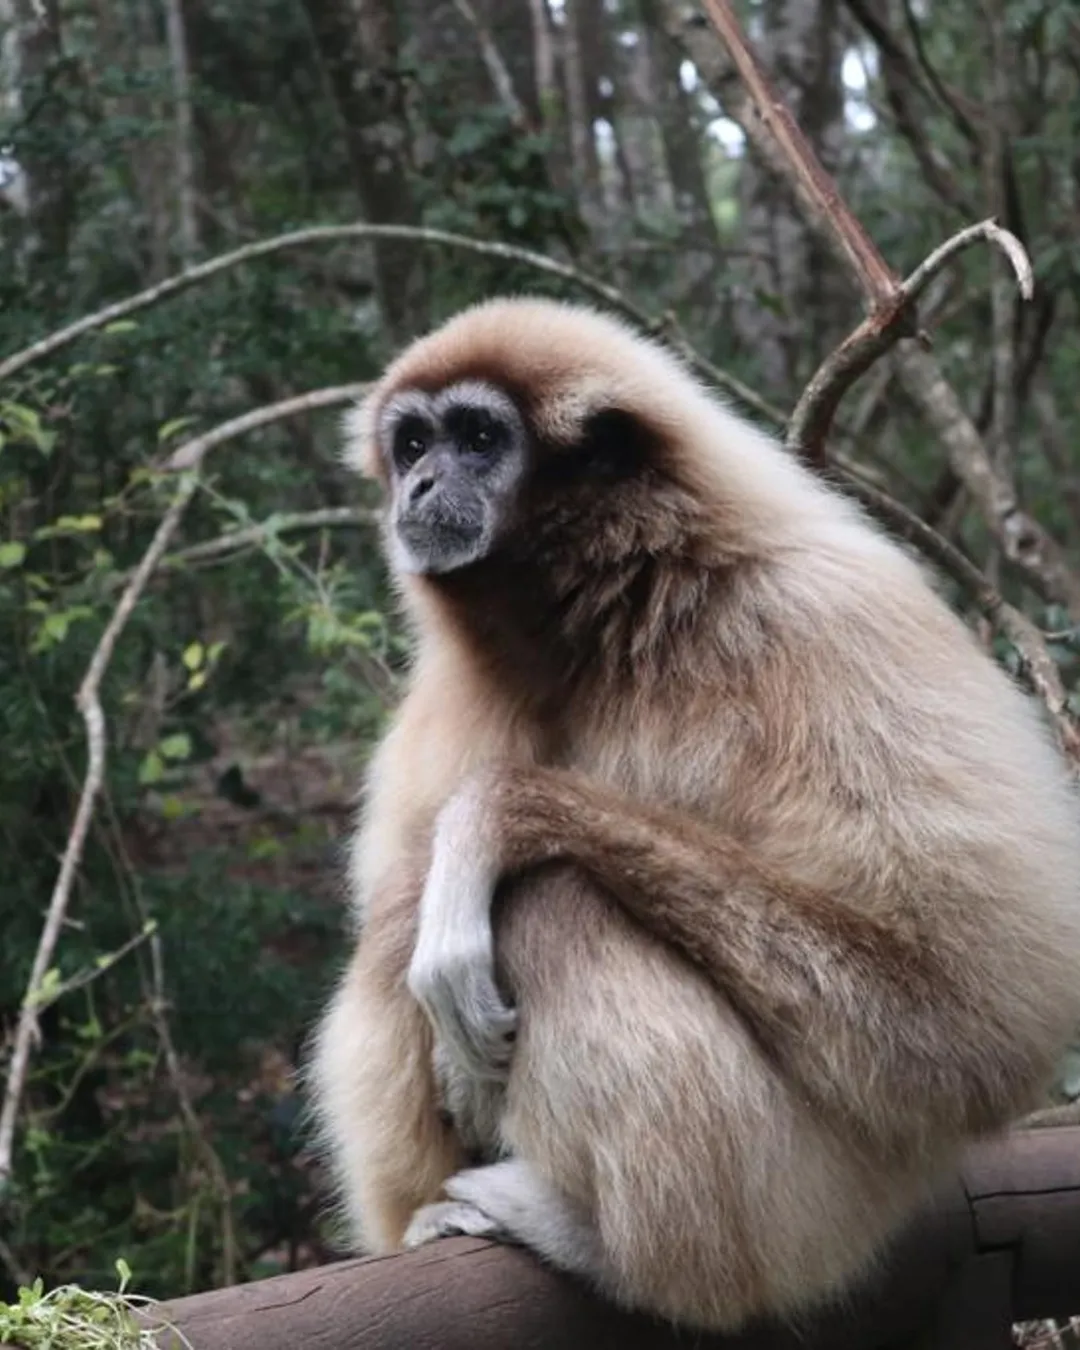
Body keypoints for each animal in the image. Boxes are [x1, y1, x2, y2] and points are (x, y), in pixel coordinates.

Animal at [310, 296, 1080, 1332]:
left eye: (478, 437)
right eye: (414, 441)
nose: (424, 479)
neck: (620, 617)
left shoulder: (825, 617)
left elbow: (974, 1008)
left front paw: (500, 815)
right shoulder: (447, 697)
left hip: (813, 1211)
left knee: (546, 902)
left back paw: (617, 1251)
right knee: (404, 905)